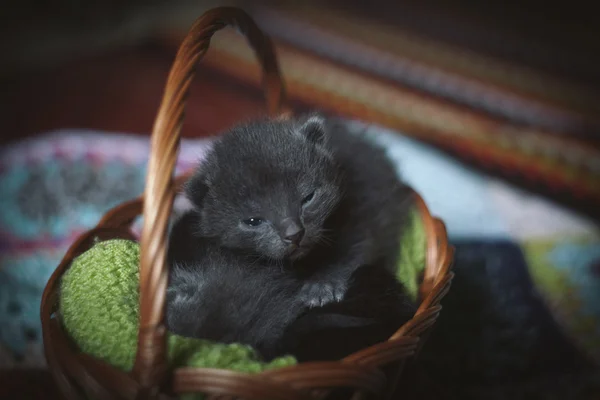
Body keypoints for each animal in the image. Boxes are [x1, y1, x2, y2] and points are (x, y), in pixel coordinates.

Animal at [186, 114, 412, 308]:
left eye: (308, 198)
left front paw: (322, 285)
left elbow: (355, 249)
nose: (294, 234)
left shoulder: (363, 211)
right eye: (253, 221)